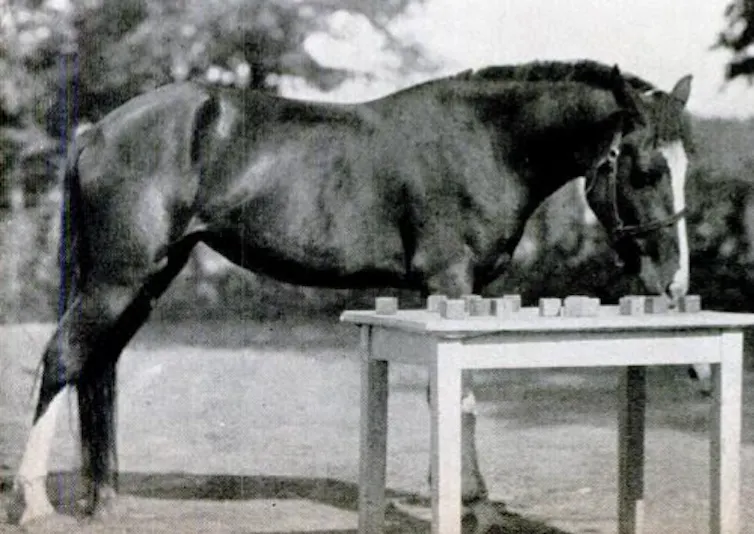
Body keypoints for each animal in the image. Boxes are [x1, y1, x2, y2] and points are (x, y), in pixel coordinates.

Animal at [9, 60, 693, 532]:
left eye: (688, 165)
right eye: (645, 170)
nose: (673, 282)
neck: (485, 140)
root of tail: (98, 130)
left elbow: (462, 395)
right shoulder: (449, 285)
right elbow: (457, 395)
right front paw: (471, 503)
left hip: (147, 280)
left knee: (97, 368)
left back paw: (105, 501)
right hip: (117, 278)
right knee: (63, 359)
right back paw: (36, 502)